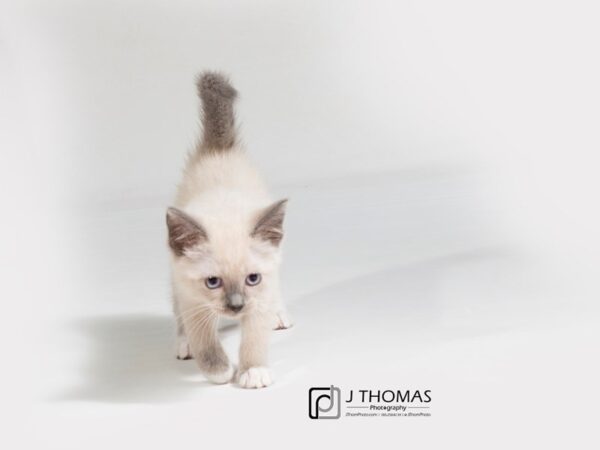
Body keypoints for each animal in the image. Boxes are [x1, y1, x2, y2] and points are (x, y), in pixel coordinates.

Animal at [168, 72, 292, 388]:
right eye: (213, 282)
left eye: (252, 278)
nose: (236, 307)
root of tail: (218, 150)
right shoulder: (192, 298)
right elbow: (205, 343)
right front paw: (221, 372)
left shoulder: (261, 293)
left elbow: (254, 339)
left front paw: (253, 371)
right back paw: (183, 344)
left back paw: (279, 315)